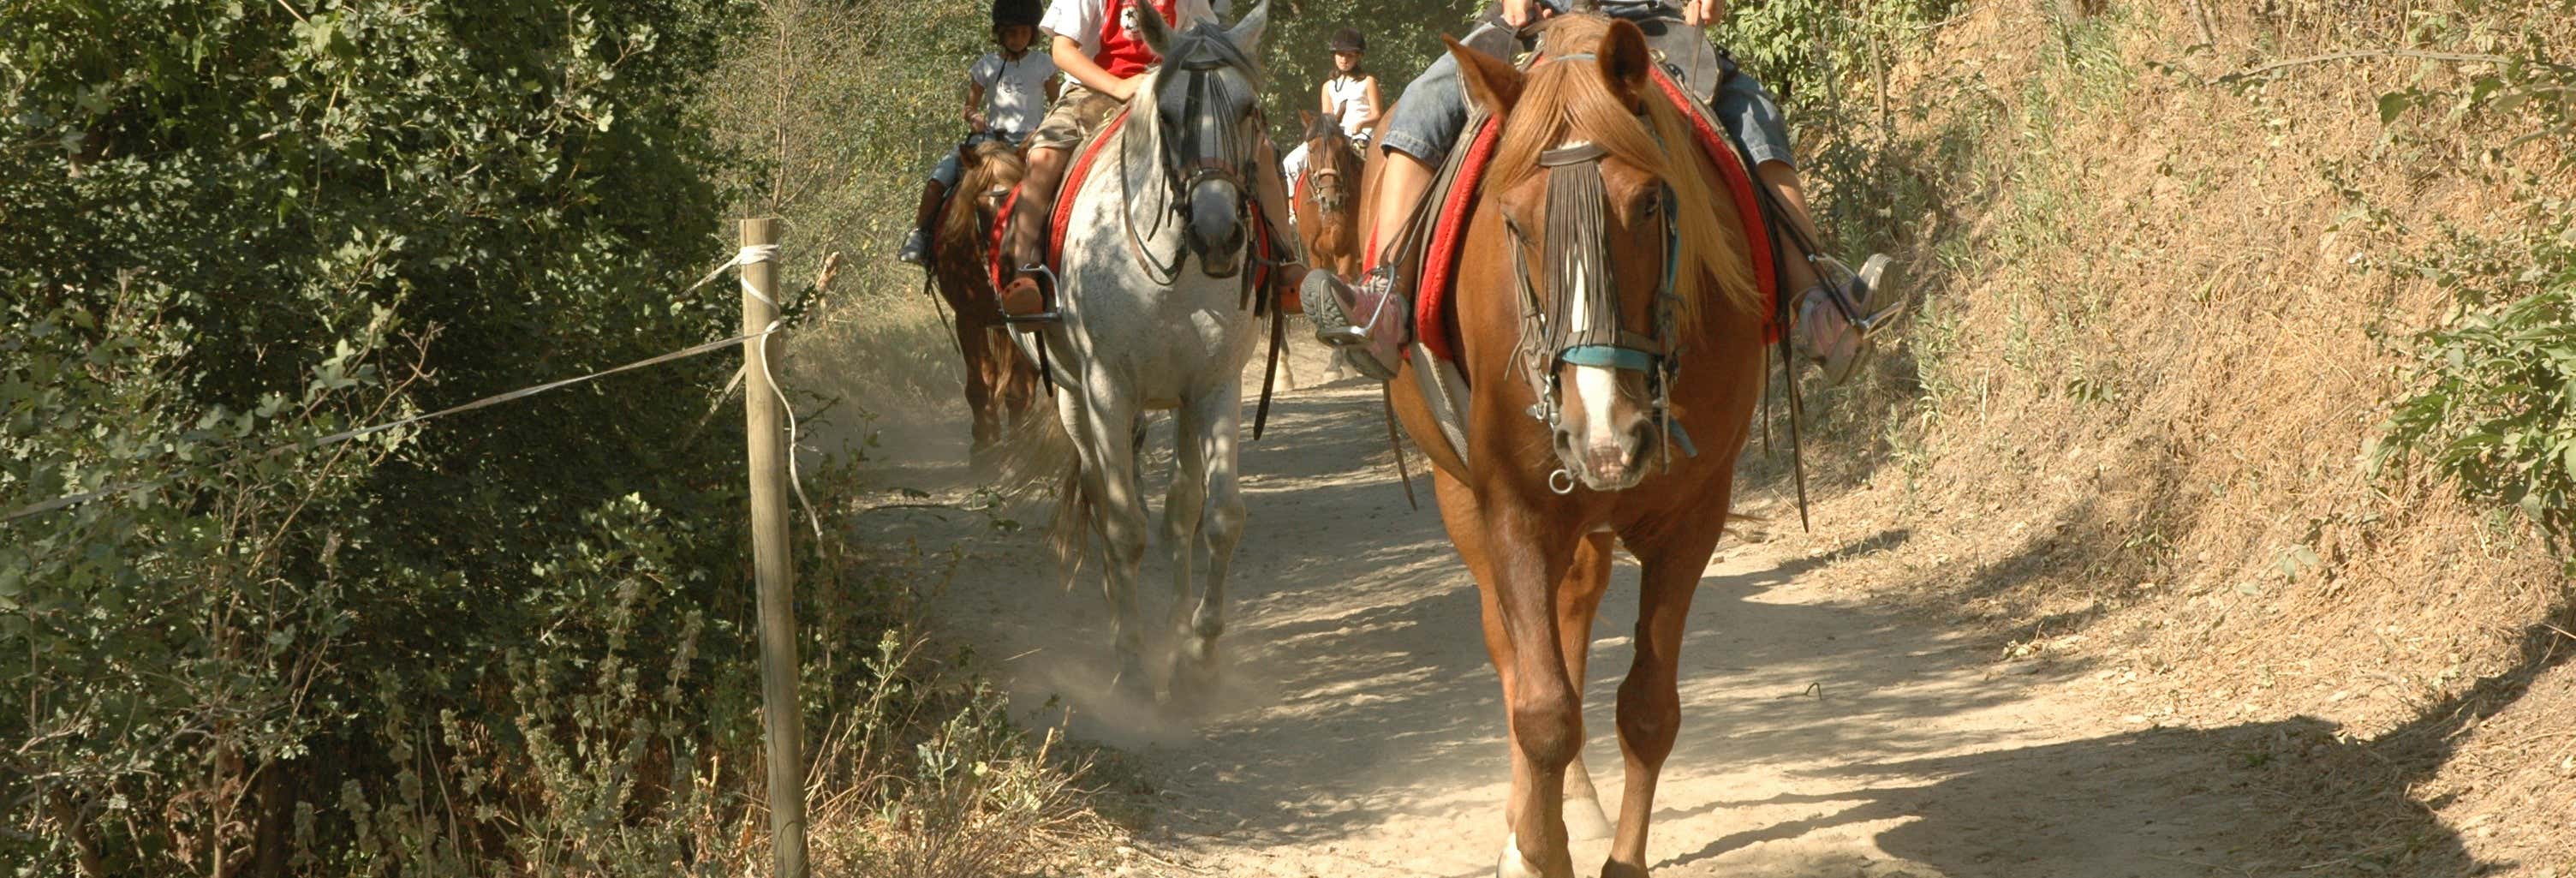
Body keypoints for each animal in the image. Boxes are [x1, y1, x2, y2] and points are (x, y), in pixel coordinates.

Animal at [930, 138, 1042, 459]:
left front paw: (1017, 445)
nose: (1005, 260)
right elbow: (979, 386)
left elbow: (1018, 390)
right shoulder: (968, 318)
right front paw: (984, 441)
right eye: (979, 206)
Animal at [1014, 1, 1274, 702]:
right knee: (1103, 500)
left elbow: (1220, 516)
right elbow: (1123, 525)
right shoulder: (1108, 388)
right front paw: (1130, 663)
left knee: (1181, 509)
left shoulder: (1215, 386)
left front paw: (1197, 651)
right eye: (1169, 115)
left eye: (1249, 109)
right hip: (1075, 398)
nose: (1219, 233)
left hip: (1179, 404)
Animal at [1377, 16, 1769, 878]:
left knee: (1572, 615)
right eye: (1513, 222)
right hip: (1464, 495)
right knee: (1513, 647)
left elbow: (1648, 709)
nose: (1606, 436)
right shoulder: (1515, 509)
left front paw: (1614, 853)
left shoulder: (1696, 515)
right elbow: (1543, 709)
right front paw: (1536, 846)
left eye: (1651, 202)